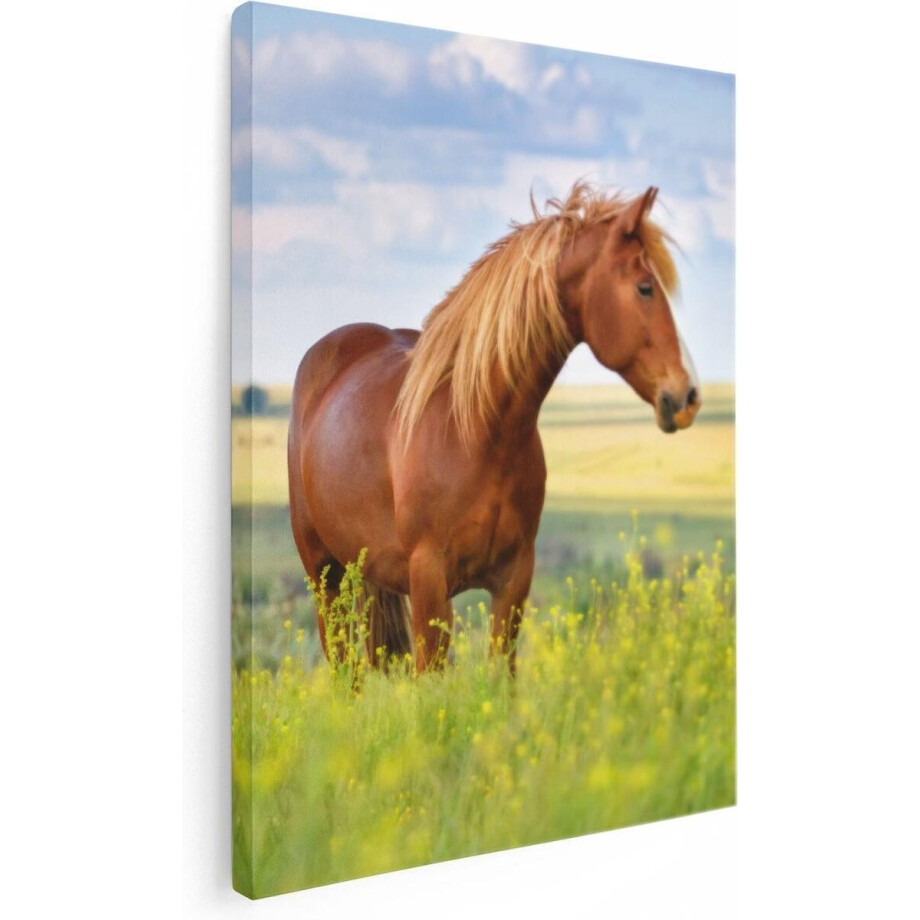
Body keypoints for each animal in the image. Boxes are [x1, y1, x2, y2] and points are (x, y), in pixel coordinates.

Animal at [287, 181, 701, 674]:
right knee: (343, 671)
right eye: (644, 288)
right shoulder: (429, 582)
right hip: (325, 577)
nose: (688, 396)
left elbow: (501, 674)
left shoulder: (513, 580)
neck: (475, 431)